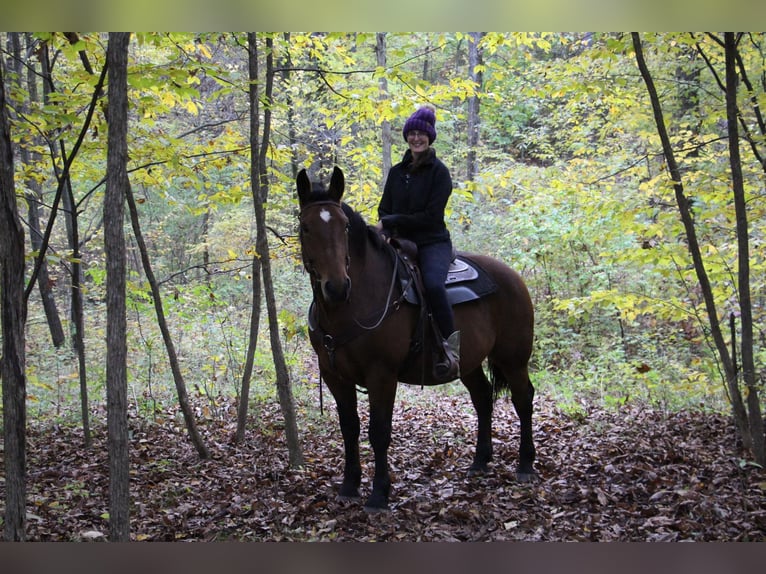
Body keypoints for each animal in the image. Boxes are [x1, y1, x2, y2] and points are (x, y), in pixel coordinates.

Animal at [296, 166, 536, 512]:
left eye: (344, 226)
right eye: (305, 227)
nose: (337, 287)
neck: (353, 304)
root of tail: (513, 276)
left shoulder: (382, 375)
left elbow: (379, 432)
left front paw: (379, 494)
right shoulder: (333, 375)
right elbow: (349, 428)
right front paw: (349, 485)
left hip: (513, 358)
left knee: (523, 399)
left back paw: (526, 464)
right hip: (469, 361)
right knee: (482, 398)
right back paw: (480, 461)